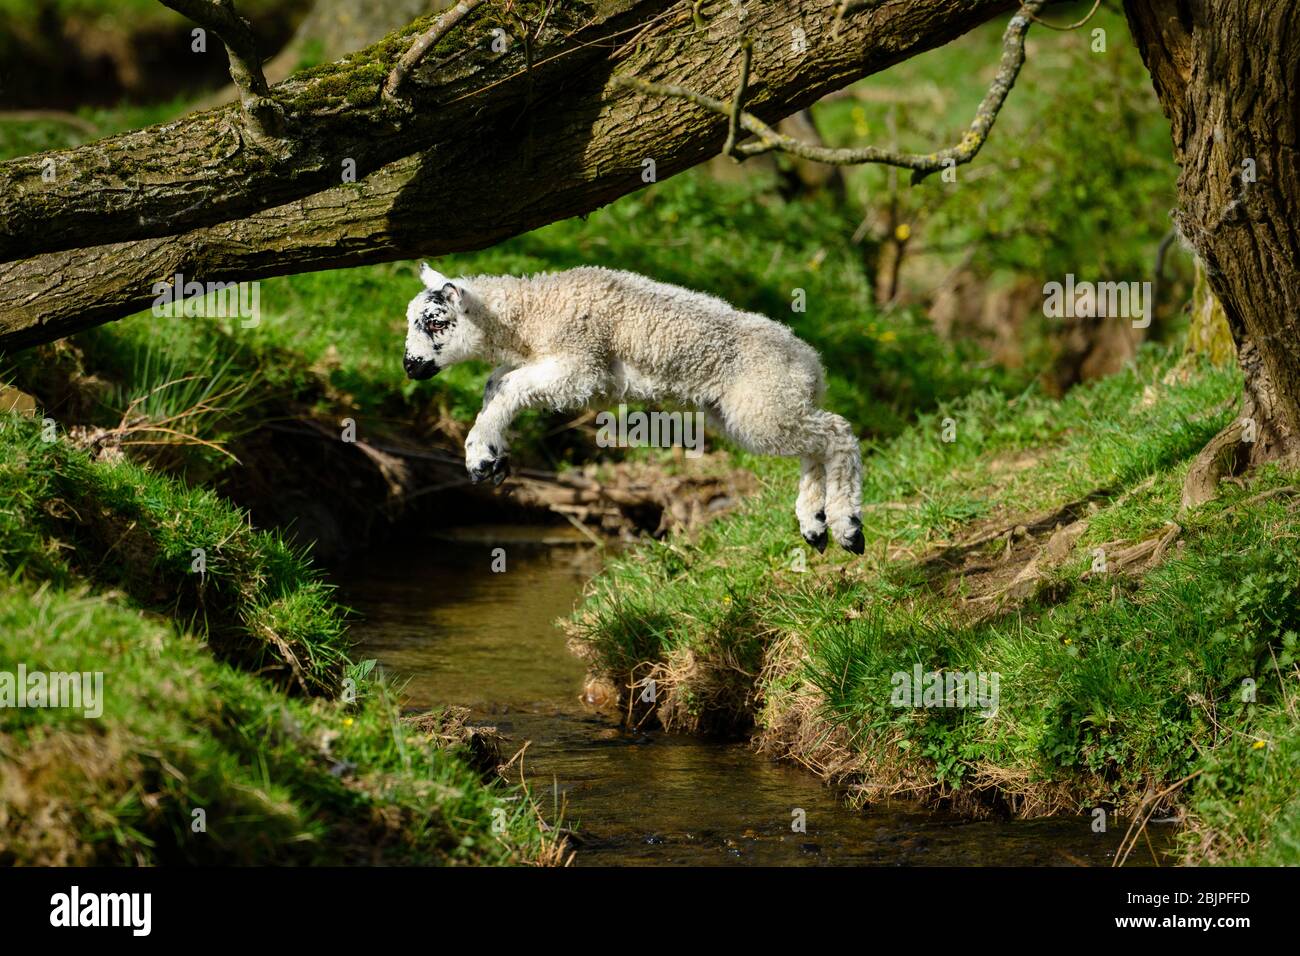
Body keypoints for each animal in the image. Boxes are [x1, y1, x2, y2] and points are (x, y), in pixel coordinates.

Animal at [403, 265, 863, 556]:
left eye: (436, 323)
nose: (409, 366)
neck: (532, 315)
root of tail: (812, 364)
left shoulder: (580, 365)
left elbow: (510, 386)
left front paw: (480, 454)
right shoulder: (552, 365)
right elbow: (496, 384)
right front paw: (494, 457)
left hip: (763, 403)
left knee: (837, 433)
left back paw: (847, 525)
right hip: (765, 406)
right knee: (813, 446)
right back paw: (814, 522)